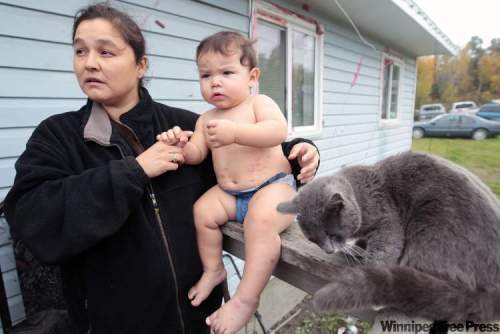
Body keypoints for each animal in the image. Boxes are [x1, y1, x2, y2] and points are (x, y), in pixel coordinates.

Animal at [278, 153, 500, 322]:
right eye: (313, 240)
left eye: (332, 234)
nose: (328, 250)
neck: (359, 195)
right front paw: (356, 248)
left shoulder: (385, 218)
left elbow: (384, 249)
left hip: (431, 229)